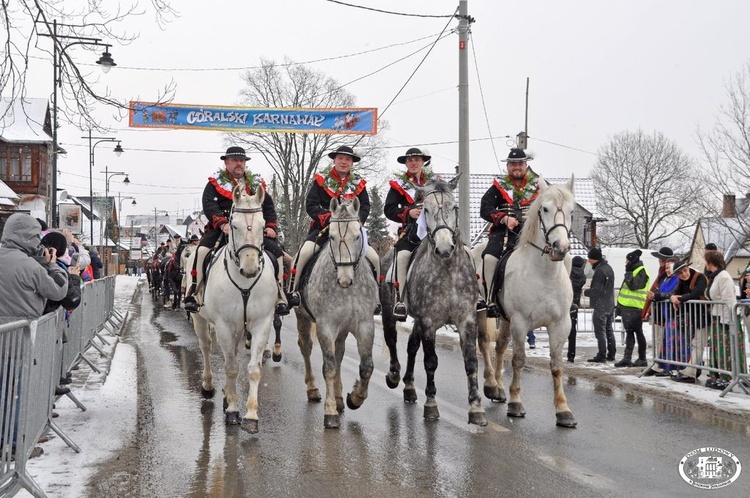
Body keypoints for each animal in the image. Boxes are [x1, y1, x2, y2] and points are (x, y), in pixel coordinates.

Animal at [188, 185, 280, 434]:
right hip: (201, 320)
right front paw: (232, 410)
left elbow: (253, 368)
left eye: (262, 224)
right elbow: (230, 368)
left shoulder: (261, 323)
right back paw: (209, 386)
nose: (250, 268)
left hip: (239, 327)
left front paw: (250, 415)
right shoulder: (223, 325)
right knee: (206, 348)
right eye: (234, 224)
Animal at [294, 196, 376, 430]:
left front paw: (355, 398)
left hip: (343, 329)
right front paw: (330, 412)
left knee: (339, 355)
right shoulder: (326, 326)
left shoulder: (365, 325)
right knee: (306, 348)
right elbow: (329, 366)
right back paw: (314, 390)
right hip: (303, 318)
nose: (344, 280)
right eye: (331, 236)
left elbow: (367, 366)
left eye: (357, 236)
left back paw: (340, 399)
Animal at [382, 177, 488, 426]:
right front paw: (431, 405)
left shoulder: (467, 320)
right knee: (392, 340)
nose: (444, 247)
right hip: (389, 312)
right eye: (425, 210)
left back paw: (410, 388)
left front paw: (476, 407)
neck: (447, 270)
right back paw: (394, 376)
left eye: (454, 207)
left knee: (411, 347)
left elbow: (471, 361)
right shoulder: (429, 322)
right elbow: (431, 361)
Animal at [478, 179, 580, 428]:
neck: (544, 275)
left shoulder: (561, 325)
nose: (561, 247)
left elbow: (557, 365)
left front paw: (563, 410)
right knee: (485, 344)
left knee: (500, 346)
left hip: (504, 319)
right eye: (545, 209)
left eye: (571, 211)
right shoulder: (520, 322)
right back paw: (491, 385)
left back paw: (498, 389)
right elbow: (518, 360)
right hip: (482, 312)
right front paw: (516, 403)